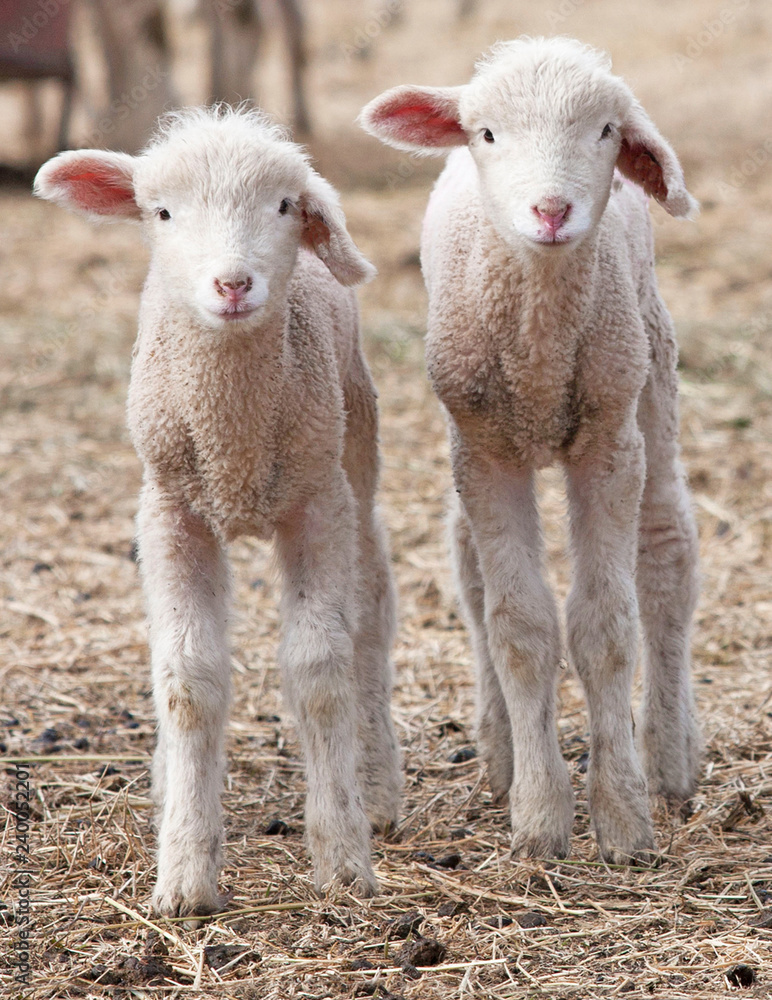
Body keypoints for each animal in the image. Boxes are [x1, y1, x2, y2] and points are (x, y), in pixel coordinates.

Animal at [34, 106, 402, 914]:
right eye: (162, 212)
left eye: (285, 206)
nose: (233, 284)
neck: (234, 434)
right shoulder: (173, 514)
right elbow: (187, 679)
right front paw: (185, 877)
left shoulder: (317, 504)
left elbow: (319, 667)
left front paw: (342, 858)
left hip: (356, 452)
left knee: (373, 612)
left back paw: (377, 781)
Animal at [360, 36, 701, 863]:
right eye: (486, 133)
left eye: (607, 131)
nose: (551, 211)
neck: (541, 348)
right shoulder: (486, 455)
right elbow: (518, 627)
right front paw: (541, 816)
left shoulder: (608, 447)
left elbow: (606, 627)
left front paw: (622, 819)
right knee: (468, 568)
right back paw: (501, 753)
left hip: (651, 373)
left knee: (667, 552)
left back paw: (671, 757)